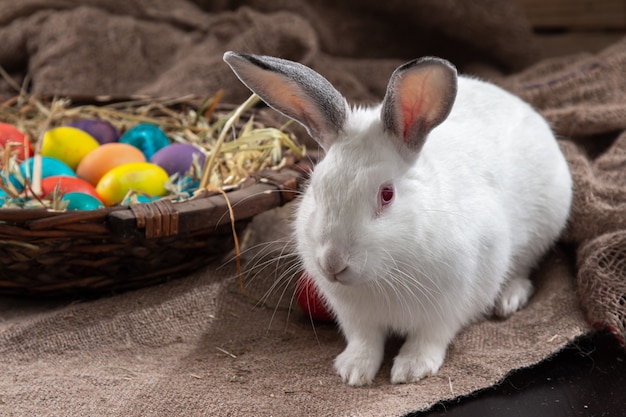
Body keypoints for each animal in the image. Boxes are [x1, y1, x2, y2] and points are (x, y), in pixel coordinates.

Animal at [223, 52, 572, 386]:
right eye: (316, 188)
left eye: (387, 195)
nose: (332, 264)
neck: (384, 274)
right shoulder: (354, 317)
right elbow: (365, 341)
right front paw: (353, 372)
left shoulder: (449, 305)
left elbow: (429, 338)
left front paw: (411, 370)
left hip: (543, 228)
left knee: (524, 267)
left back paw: (509, 299)